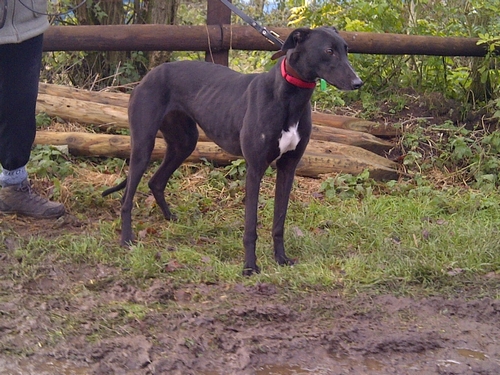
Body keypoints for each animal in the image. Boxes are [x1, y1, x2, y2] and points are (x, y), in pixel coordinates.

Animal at [103, 25, 362, 274]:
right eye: (329, 51)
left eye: (346, 49)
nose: (358, 83)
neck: (288, 96)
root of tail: (148, 76)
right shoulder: (255, 168)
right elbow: (250, 226)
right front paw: (249, 266)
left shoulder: (288, 167)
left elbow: (279, 220)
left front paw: (281, 259)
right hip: (143, 144)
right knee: (127, 198)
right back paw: (126, 240)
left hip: (183, 143)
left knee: (156, 181)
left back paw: (170, 218)